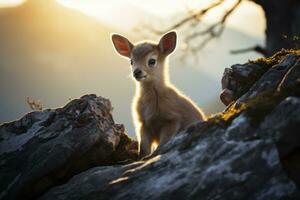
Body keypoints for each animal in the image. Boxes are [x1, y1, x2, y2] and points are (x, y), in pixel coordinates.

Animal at [111, 30, 205, 158]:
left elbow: (162, 144)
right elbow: (143, 148)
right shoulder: (143, 123)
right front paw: (143, 158)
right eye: (131, 61)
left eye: (152, 61)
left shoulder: (172, 120)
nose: (137, 72)